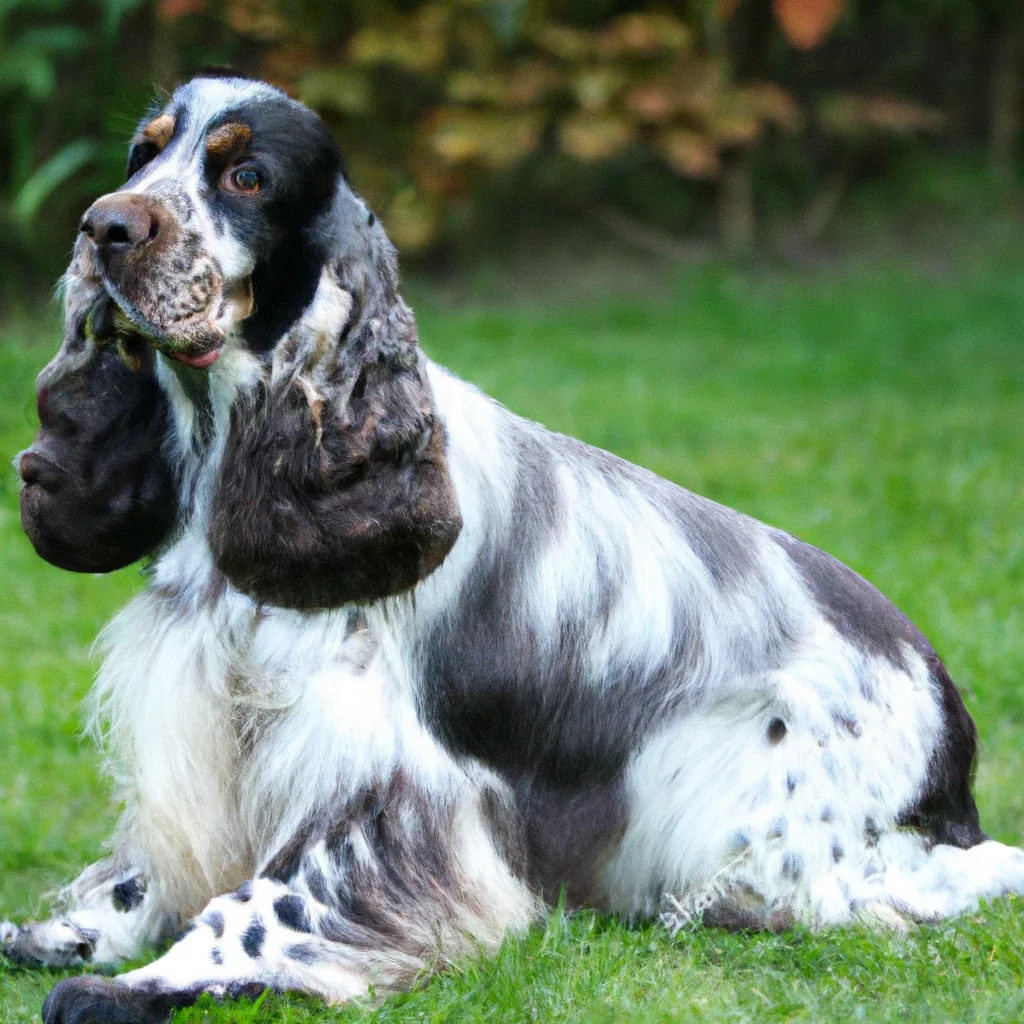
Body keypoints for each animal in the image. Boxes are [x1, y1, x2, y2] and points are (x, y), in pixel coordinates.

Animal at [8, 74, 1024, 1024]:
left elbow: (267, 906)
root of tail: (952, 745)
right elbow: (143, 870)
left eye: (246, 177)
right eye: (144, 155)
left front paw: (139, 984)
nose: (103, 227)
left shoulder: (373, 772)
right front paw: (70, 932)